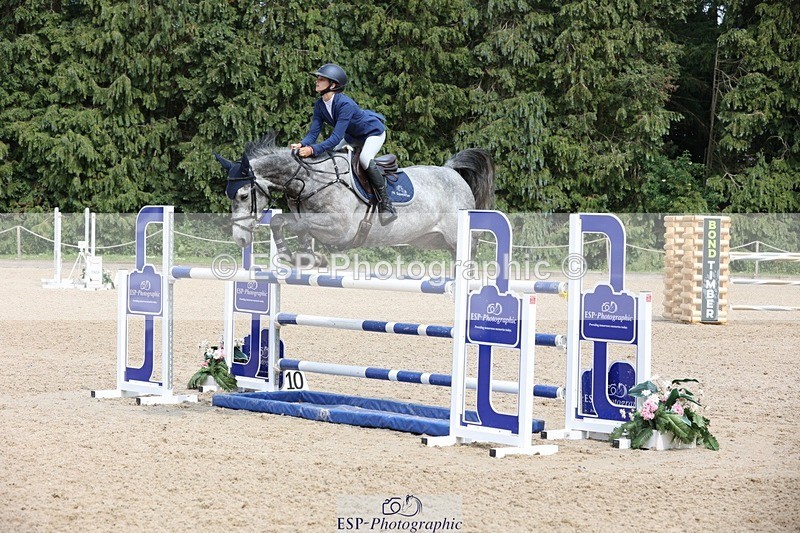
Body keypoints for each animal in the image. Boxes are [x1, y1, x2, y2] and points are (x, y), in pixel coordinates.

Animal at [215, 133, 495, 264]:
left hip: (459, 238)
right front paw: (308, 258)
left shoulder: (339, 229)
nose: (240, 239)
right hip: (432, 240)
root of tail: (452, 171)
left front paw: (288, 254)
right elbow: (293, 227)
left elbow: (285, 223)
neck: (311, 177)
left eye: (243, 195)